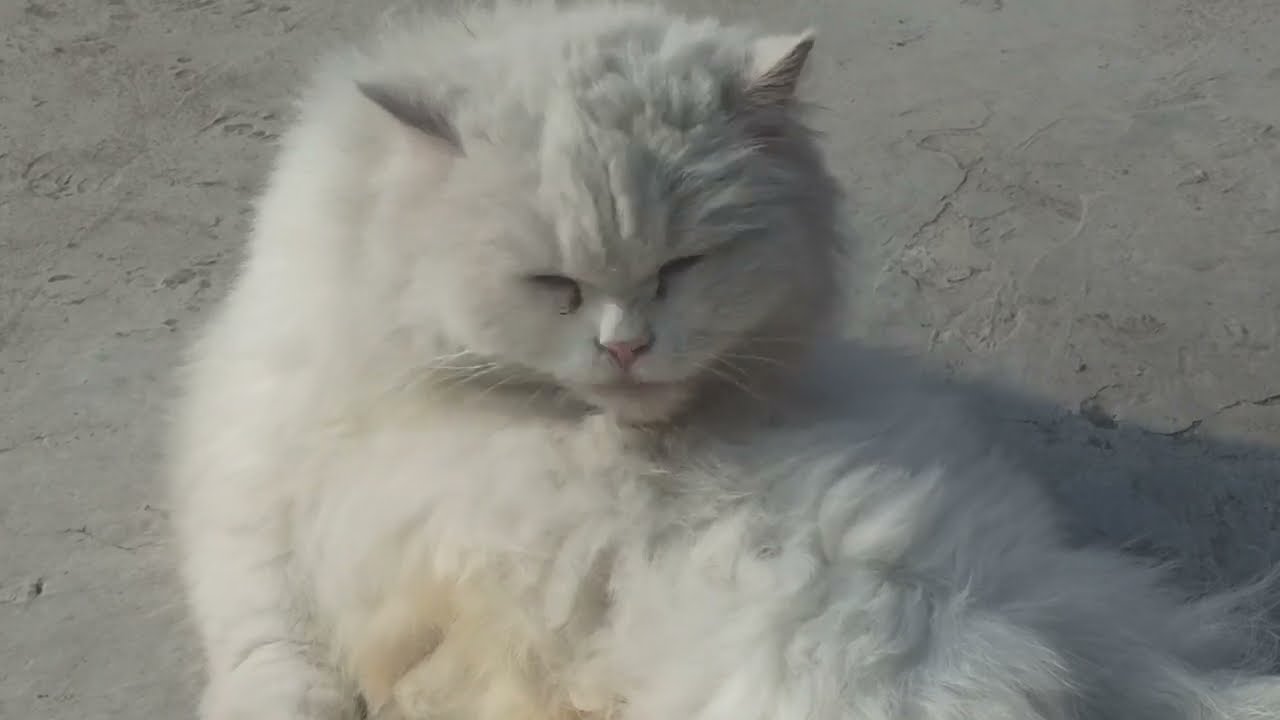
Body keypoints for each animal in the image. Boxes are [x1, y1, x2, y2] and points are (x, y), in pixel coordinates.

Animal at [170, 2, 1280, 719]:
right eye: (553, 286)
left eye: (681, 268)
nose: (626, 346)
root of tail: (1065, 630)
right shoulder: (262, 487)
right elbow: (276, 659)